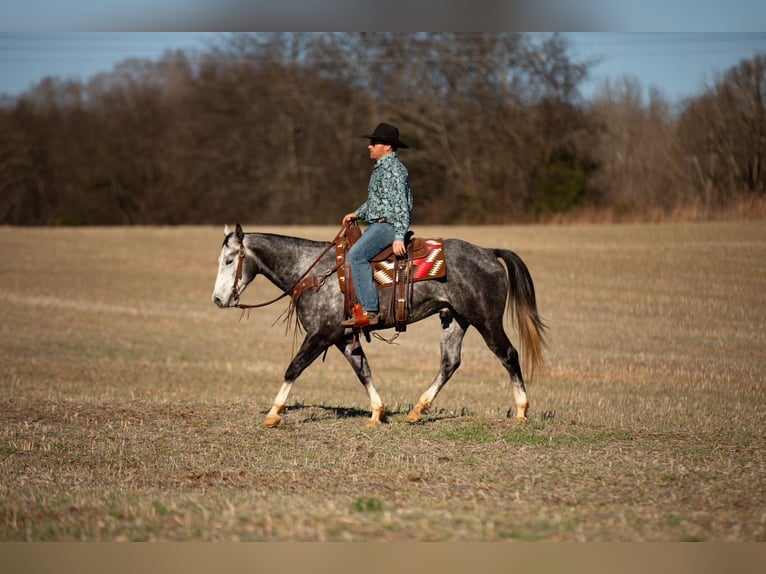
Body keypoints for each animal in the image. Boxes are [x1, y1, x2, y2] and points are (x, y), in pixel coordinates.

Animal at [211, 223, 548, 428]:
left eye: (229, 260)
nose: (217, 299)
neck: (315, 272)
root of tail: (489, 253)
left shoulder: (321, 334)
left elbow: (294, 368)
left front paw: (273, 413)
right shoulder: (343, 337)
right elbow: (363, 371)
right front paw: (377, 412)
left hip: (486, 320)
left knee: (508, 354)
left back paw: (521, 411)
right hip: (455, 319)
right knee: (450, 362)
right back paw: (417, 410)